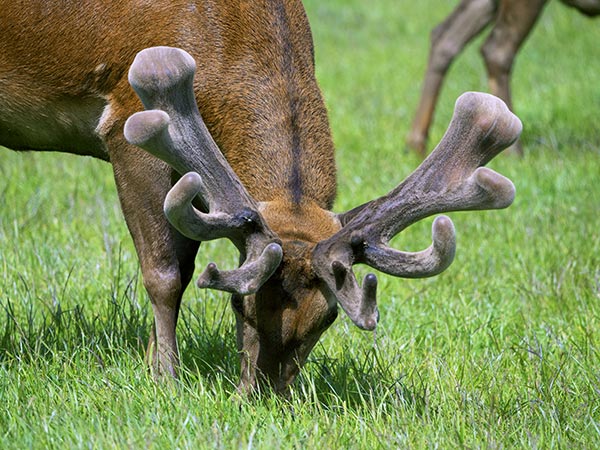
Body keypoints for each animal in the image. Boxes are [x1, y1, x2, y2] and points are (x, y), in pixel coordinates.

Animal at [0, 0, 520, 394]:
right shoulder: (127, 121)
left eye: (327, 318)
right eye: (238, 304)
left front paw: (151, 363)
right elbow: (165, 273)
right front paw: (166, 379)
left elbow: (184, 262)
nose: (263, 394)